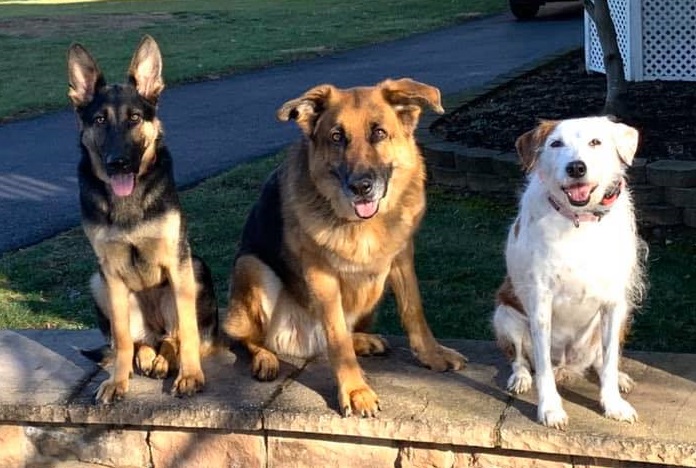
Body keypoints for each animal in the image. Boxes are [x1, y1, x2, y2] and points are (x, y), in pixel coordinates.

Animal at [68, 36, 216, 404]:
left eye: (135, 118)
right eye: (99, 120)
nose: (117, 163)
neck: (128, 203)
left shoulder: (178, 263)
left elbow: (189, 333)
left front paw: (190, 376)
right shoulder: (110, 272)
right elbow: (121, 340)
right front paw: (117, 382)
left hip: (195, 269)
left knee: (174, 336)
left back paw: (165, 361)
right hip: (97, 284)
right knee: (141, 342)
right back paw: (148, 358)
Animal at [226, 77, 468, 416]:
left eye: (379, 133)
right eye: (336, 137)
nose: (360, 187)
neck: (362, 224)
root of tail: (305, 344)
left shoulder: (401, 257)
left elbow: (413, 309)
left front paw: (431, 354)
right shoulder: (322, 276)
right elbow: (337, 338)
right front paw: (355, 390)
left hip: (373, 287)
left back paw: (363, 341)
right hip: (251, 267)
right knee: (252, 338)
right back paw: (265, 358)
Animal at [492, 116, 644, 428]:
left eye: (596, 142)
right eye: (555, 143)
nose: (576, 167)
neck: (580, 221)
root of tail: (568, 364)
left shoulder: (614, 303)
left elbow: (609, 360)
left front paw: (613, 404)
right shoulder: (541, 303)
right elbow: (542, 369)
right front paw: (550, 409)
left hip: (620, 317)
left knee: (600, 359)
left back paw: (620, 378)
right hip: (505, 314)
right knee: (520, 359)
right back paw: (520, 378)